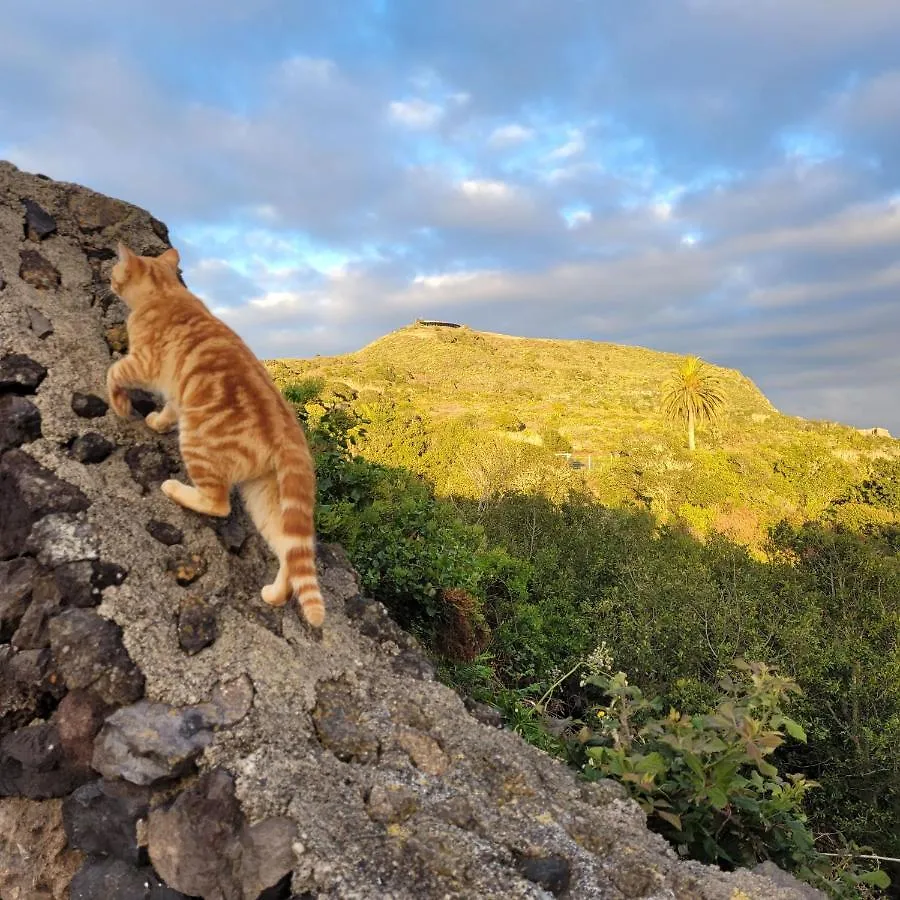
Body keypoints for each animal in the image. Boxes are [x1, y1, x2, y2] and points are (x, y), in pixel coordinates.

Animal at [105, 243, 326, 628]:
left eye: (116, 271)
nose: (107, 278)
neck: (166, 291)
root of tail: (290, 432)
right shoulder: (177, 392)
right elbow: (168, 410)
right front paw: (156, 422)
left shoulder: (143, 363)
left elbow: (113, 373)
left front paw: (120, 405)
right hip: (265, 497)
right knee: (290, 551)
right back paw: (274, 594)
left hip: (198, 445)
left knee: (218, 503)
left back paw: (175, 490)